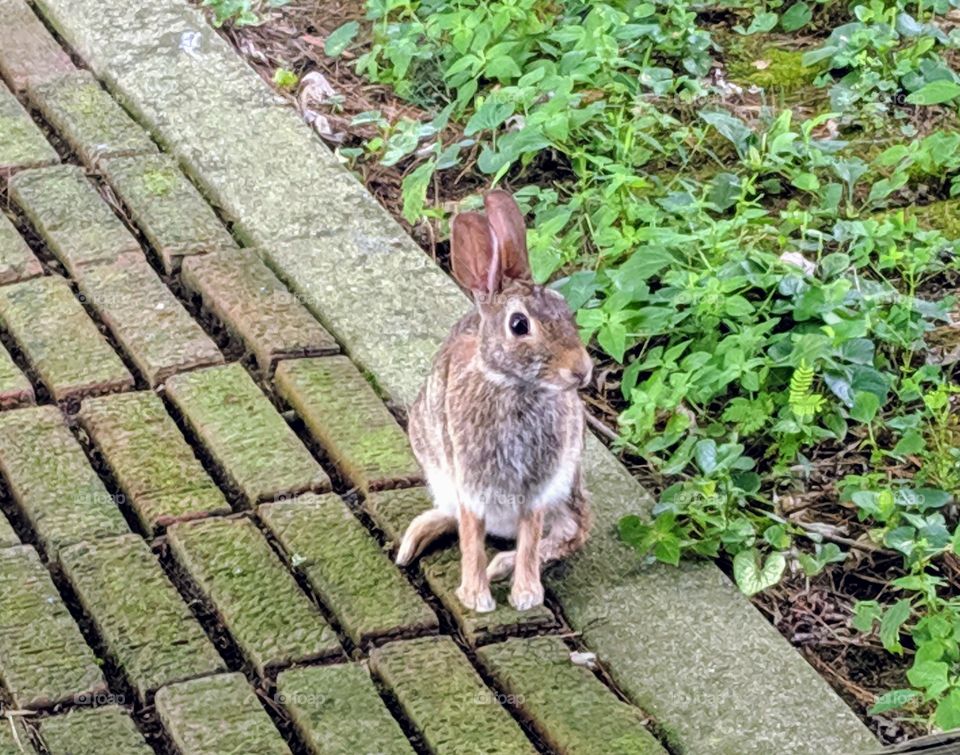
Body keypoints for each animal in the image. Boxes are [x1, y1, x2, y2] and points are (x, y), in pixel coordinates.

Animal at [395, 190, 593, 613]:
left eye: (565, 310)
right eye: (519, 325)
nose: (581, 371)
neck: (513, 386)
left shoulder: (538, 487)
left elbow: (532, 535)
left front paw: (525, 595)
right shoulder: (470, 480)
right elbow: (471, 534)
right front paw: (477, 599)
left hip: (567, 486)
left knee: (572, 532)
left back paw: (501, 564)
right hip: (438, 470)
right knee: (455, 517)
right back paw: (415, 541)